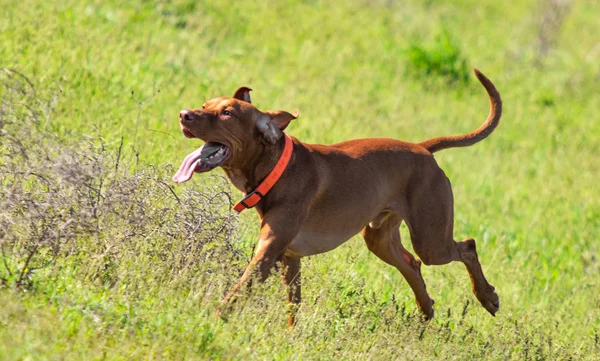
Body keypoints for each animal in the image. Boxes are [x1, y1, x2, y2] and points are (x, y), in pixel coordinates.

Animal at [173, 69, 502, 324]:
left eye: (227, 113)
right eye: (205, 104)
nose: (183, 114)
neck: (277, 168)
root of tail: (422, 148)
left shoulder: (268, 254)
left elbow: (236, 294)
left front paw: (212, 321)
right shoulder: (290, 258)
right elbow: (293, 307)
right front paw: (292, 336)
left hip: (431, 240)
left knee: (466, 246)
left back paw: (486, 297)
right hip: (380, 238)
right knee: (412, 264)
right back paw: (426, 310)